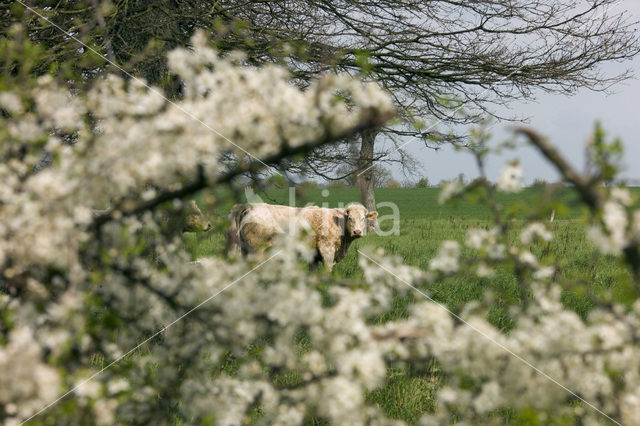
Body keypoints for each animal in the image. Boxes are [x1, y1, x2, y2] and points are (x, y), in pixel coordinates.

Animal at [226, 202, 376, 270]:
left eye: (363, 218)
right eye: (350, 218)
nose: (357, 232)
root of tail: (250, 206)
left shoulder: (313, 256)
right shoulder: (327, 250)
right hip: (256, 250)